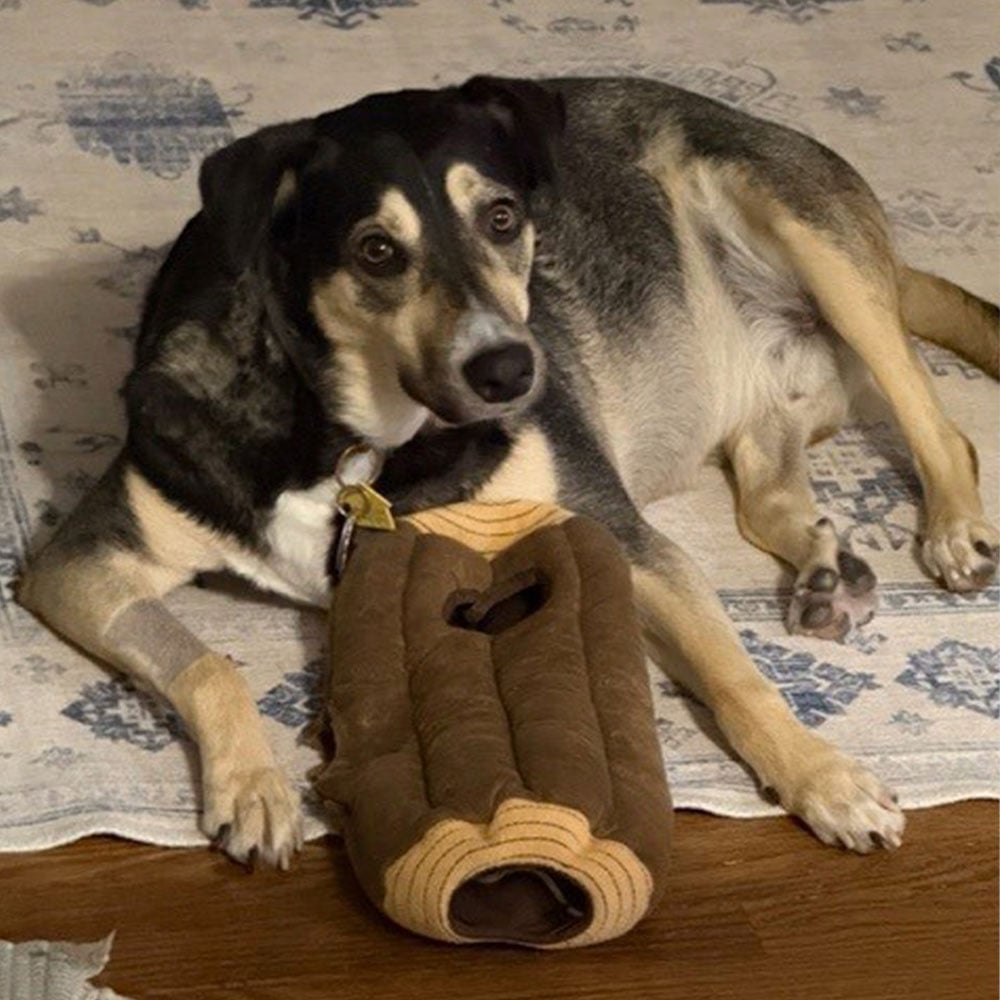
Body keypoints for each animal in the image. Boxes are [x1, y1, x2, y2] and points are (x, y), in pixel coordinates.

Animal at [19, 76, 999, 868]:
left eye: (502, 218)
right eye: (376, 250)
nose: (513, 371)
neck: (356, 439)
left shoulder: (622, 537)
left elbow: (737, 677)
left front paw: (824, 778)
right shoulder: (79, 563)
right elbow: (207, 664)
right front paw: (253, 788)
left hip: (806, 233)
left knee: (943, 431)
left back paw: (952, 529)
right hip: (777, 397)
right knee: (768, 484)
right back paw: (827, 571)